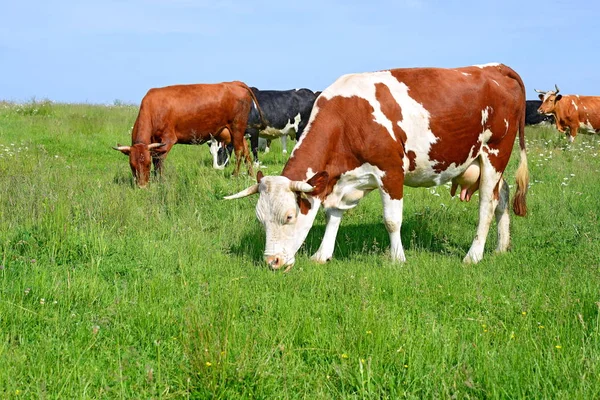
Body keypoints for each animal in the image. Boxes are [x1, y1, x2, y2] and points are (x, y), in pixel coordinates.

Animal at [112, 82, 264, 188]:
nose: (142, 186)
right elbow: (156, 159)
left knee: (239, 151)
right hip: (236, 132)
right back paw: (251, 175)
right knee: (245, 150)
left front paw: (161, 180)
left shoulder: (167, 139)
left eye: (147, 165)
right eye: (132, 165)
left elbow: (159, 161)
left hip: (237, 127)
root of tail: (234, 83)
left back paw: (235, 175)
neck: (153, 109)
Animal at [225, 63, 528, 272]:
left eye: (289, 216)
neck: (348, 118)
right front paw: (322, 254)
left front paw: (397, 259)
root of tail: (493, 67)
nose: (272, 262)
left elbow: (392, 220)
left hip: (495, 152)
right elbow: (332, 215)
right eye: (260, 219)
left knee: (487, 204)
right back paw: (502, 247)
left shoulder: (390, 172)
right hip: (484, 161)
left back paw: (473, 255)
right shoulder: (343, 179)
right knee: (502, 196)